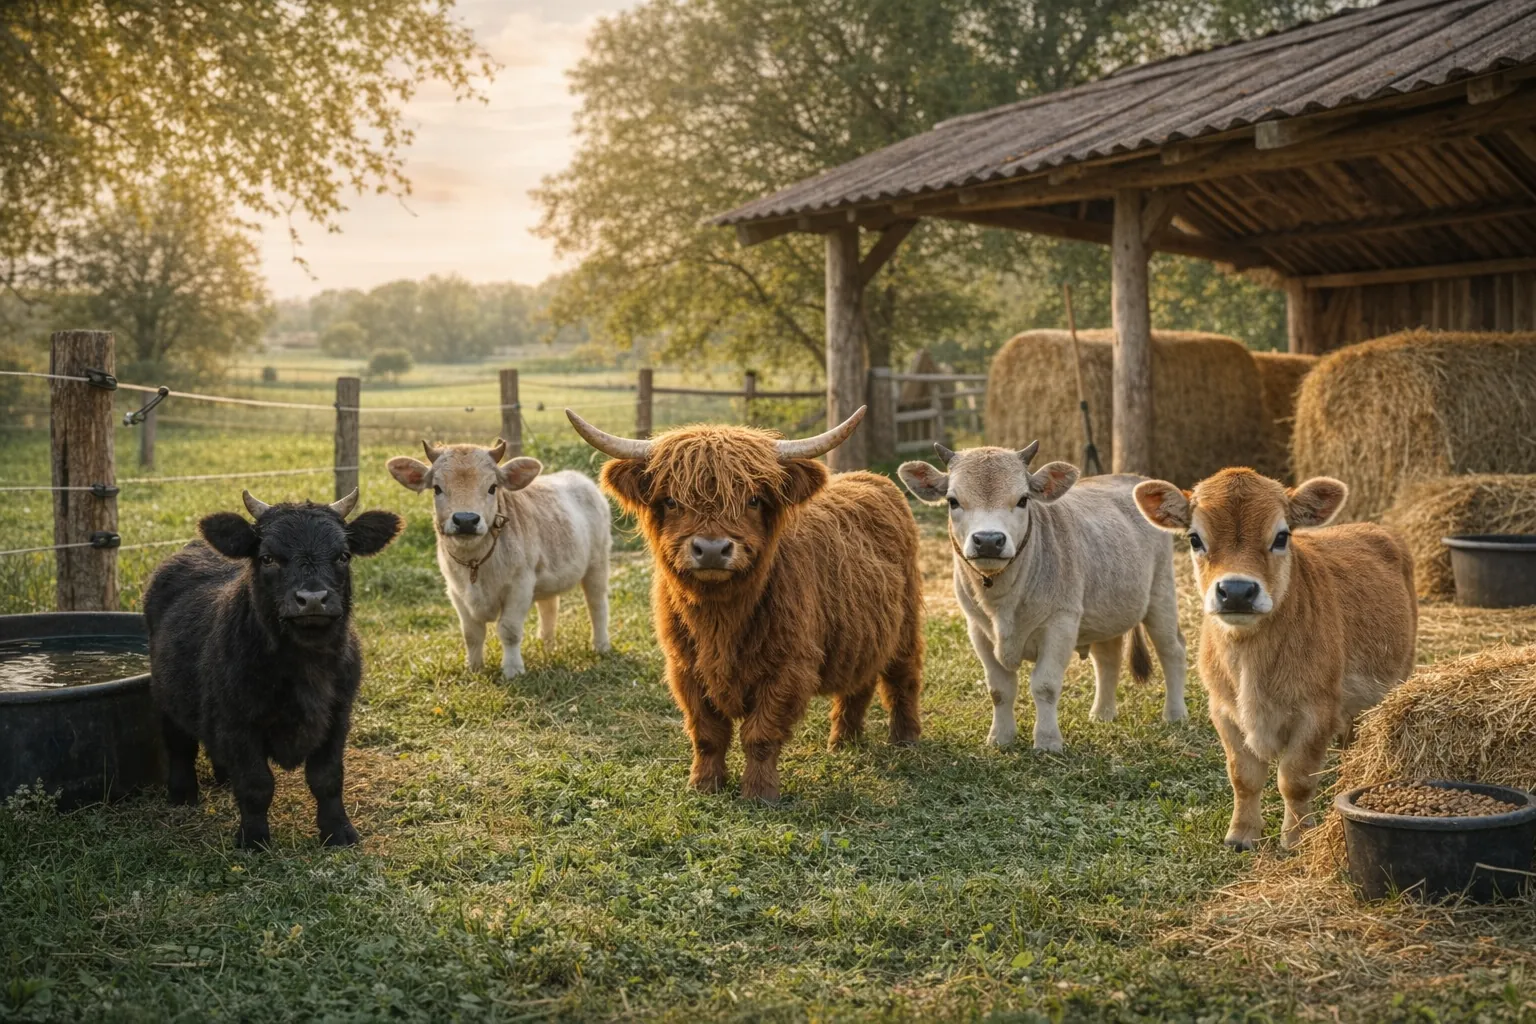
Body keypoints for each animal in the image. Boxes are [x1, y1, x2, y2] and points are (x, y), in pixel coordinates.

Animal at [143, 489, 402, 849]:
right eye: (267, 558)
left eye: (343, 555)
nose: (312, 598)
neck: (305, 666)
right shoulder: (238, 723)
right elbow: (256, 784)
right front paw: (253, 839)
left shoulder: (337, 717)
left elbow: (327, 779)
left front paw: (338, 831)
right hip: (166, 696)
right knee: (180, 746)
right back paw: (182, 795)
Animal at [386, 438, 611, 678]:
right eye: (437, 488)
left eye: (492, 487)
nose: (466, 520)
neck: (475, 564)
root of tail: (578, 478)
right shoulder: (456, 592)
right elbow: (471, 634)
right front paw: (474, 668)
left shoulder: (520, 586)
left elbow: (509, 630)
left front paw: (513, 669)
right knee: (549, 606)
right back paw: (546, 646)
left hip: (598, 563)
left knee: (597, 605)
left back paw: (601, 646)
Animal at [565, 406, 923, 802]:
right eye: (672, 501)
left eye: (753, 500)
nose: (710, 549)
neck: (719, 620)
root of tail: (874, 478)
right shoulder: (685, 668)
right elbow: (707, 733)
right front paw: (704, 785)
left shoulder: (787, 669)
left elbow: (761, 735)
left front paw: (759, 793)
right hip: (861, 631)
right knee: (859, 682)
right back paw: (843, 743)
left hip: (906, 625)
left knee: (902, 678)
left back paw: (905, 740)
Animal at [899, 443, 1187, 752]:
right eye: (953, 501)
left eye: (1023, 500)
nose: (988, 540)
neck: (1003, 602)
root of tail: (1135, 479)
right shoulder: (977, 629)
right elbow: (999, 689)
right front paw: (1000, 737)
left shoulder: (1060, 623)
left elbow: (1045, 686)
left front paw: (1047, 741)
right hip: (1106, 611)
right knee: (1108, 658)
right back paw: (1102, 714)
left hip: (1161, 595)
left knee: (1172, 650)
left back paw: (1175, 714)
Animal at [1133, 468, 1416, 850]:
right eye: (1194, 539)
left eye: (1281, 536)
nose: (1237, 590)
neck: (1249, 662)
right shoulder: (1223, 711)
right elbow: (1244, 777)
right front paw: (1241, 834)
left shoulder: (1316, 712)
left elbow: (1295, 780)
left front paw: (1295, 836)